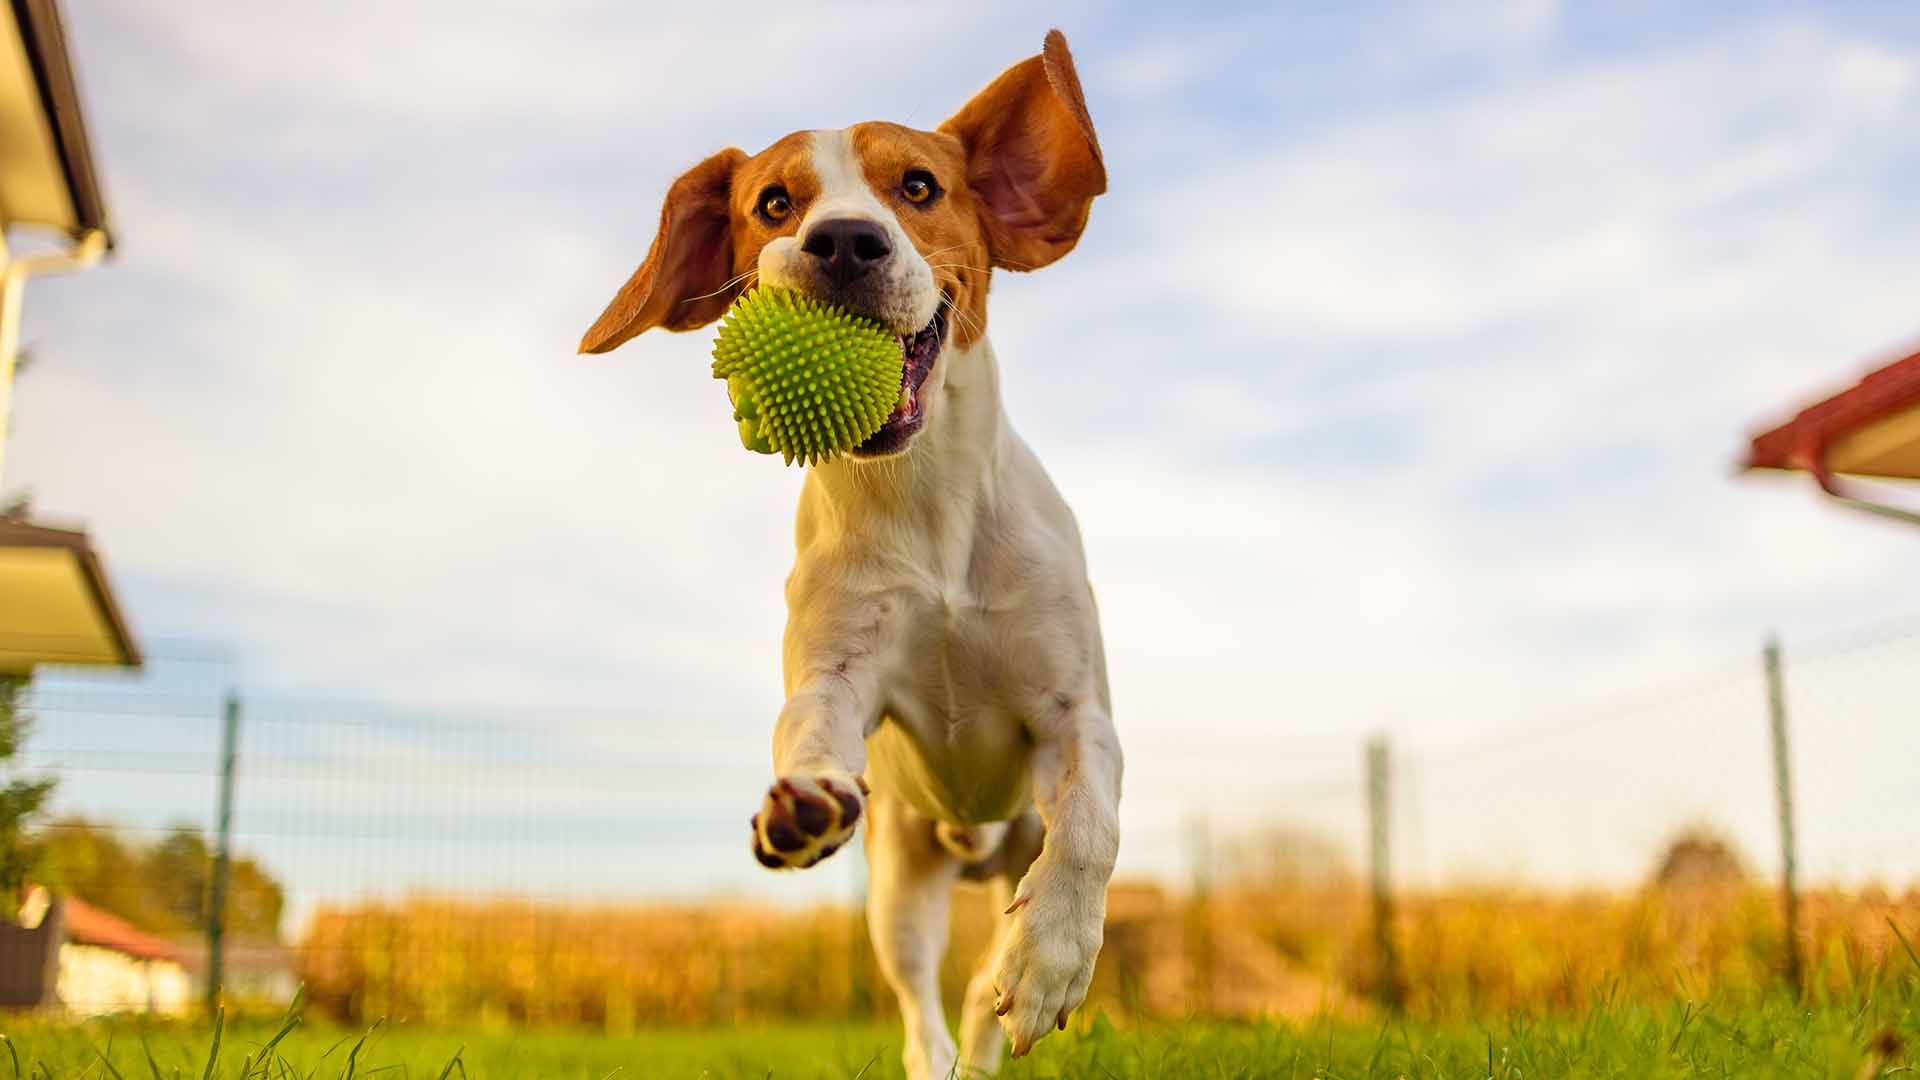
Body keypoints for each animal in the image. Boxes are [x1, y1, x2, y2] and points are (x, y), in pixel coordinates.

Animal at [576, 29, 1121, 1068]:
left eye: (917, 186)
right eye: (773, 204)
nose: (843, 241)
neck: (925, 506)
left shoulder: (1074, 712)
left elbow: (1089, 825)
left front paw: (1052, 960)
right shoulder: (837, 672)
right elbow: (809, 728)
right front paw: (803, 801)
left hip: (1000, 854)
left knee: (983, 979)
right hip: (899, 888)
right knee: (922, 1017)